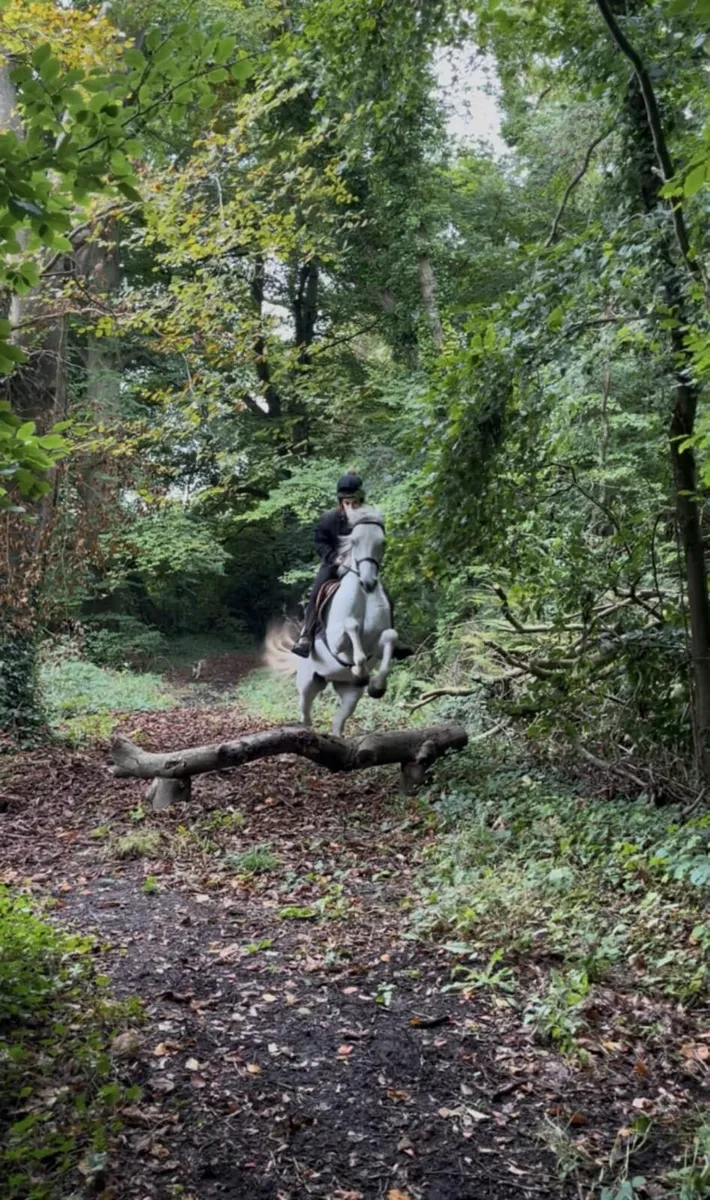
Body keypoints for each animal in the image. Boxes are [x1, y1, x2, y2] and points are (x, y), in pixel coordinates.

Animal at [264, 505, 400, 736]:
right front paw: (360, 672)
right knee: (305, 713)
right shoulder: (337, 640)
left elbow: (390, 636)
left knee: (338, 722)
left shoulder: (377, 644)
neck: (363, 595)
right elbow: (351, 626)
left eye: (382, 542)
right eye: (355, 541)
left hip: (349, 692)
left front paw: (376, 686)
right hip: (307, 684)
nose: (368, 582)